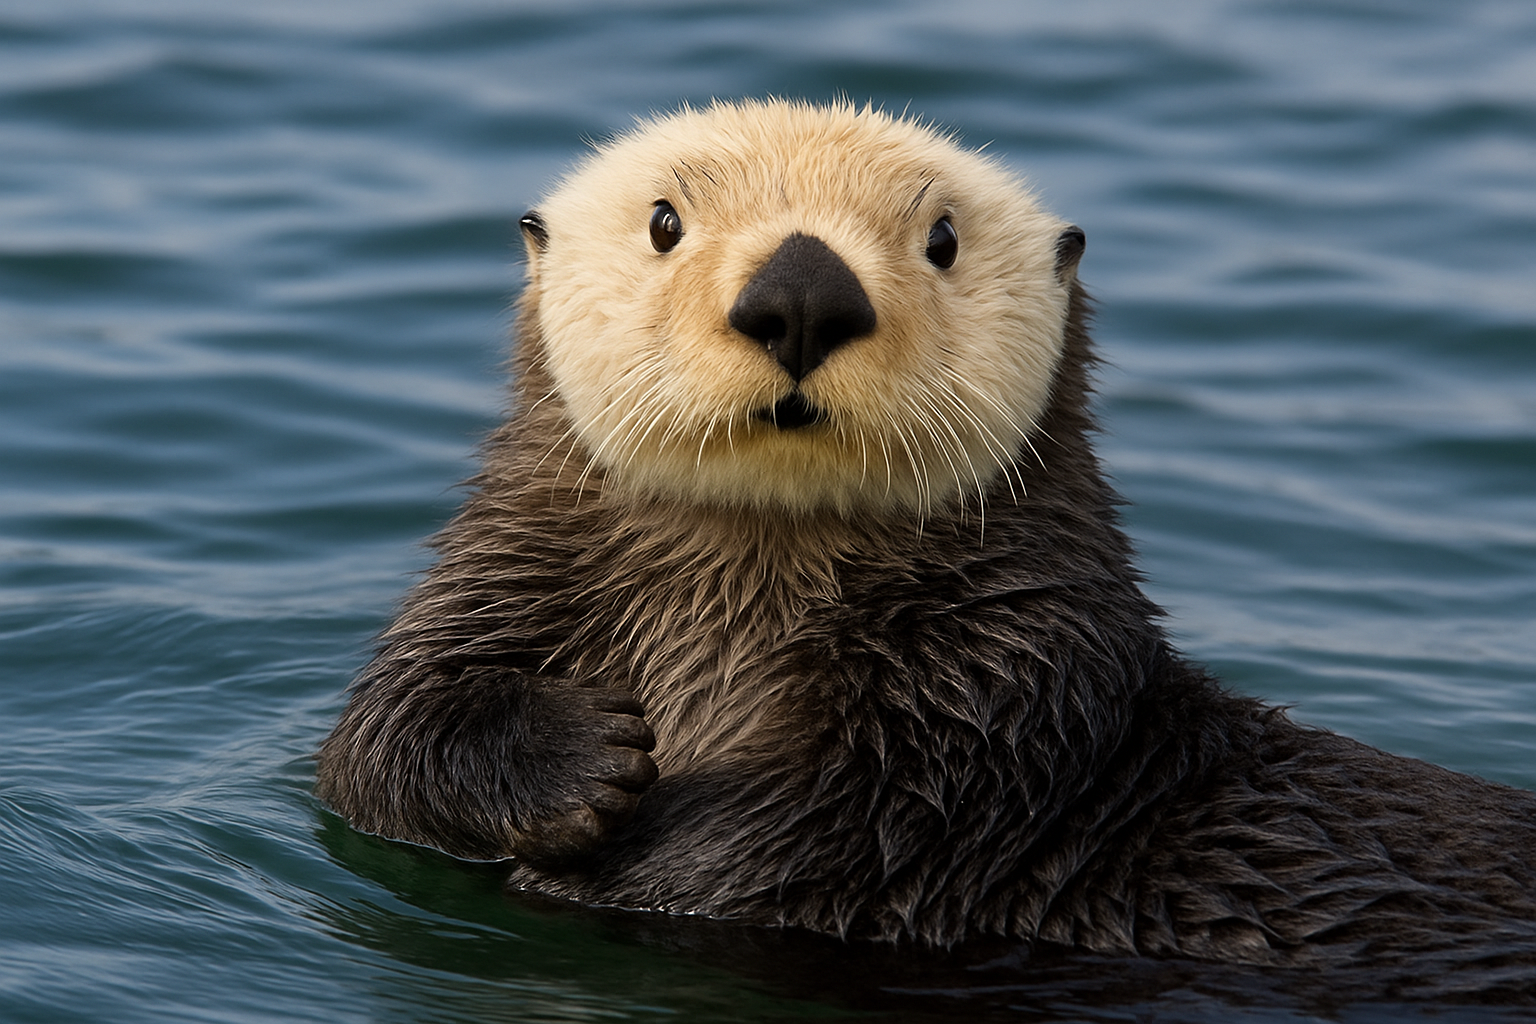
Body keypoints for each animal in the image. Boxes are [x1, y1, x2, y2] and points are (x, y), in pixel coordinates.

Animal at [316, 100, 1536, 986]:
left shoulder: (1004, 694)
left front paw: (599, 860)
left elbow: (827, 833)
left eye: (943, 238)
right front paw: (584, 757)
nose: (802, 292)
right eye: (664, 221)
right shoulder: (507, 578)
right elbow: (381, 745)